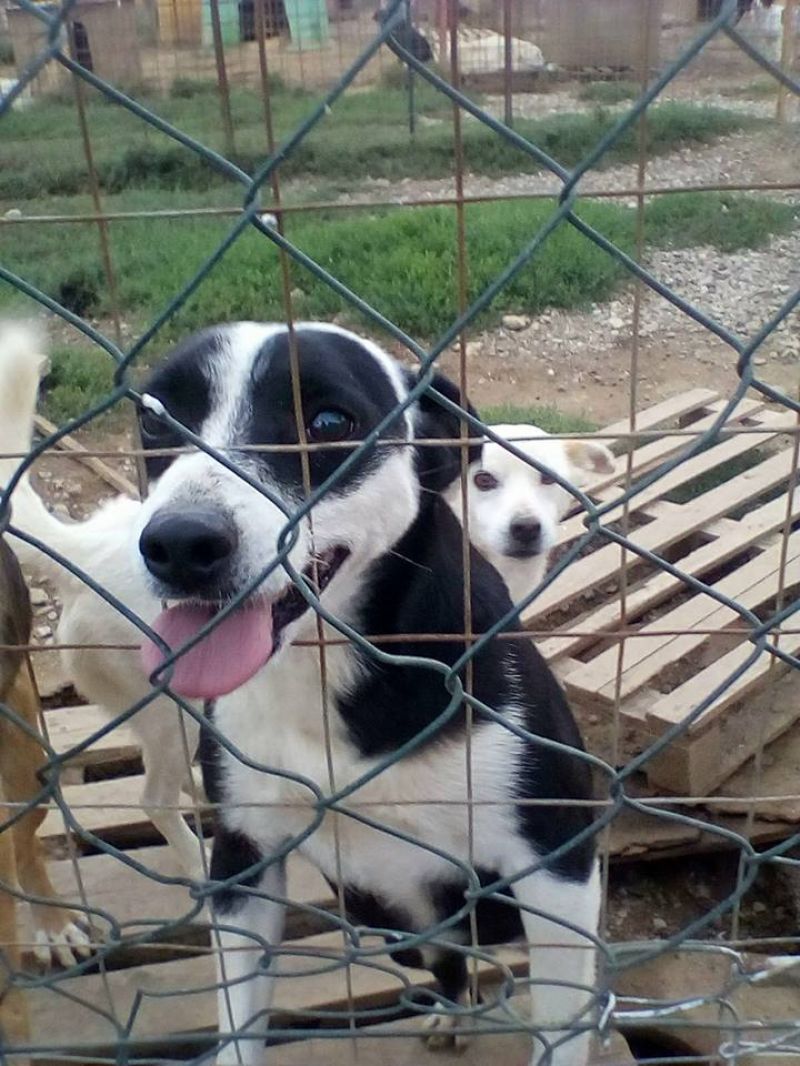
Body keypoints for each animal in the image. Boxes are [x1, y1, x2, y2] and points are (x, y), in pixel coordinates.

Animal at [134, 321, 601, 1066]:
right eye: (154, 421)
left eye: (329, 422)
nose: (179, 543)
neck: (326, 676)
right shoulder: (242, 860)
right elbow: (239, 1018)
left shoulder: (556, 867)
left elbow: (562, 1030)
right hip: (399, 932)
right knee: (444, 964)